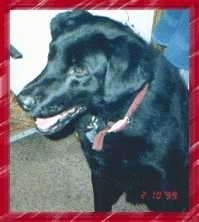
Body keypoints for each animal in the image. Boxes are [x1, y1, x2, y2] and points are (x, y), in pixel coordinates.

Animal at [17, 10, 188, 212]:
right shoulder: (100, 174)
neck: (118, 119)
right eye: (51, 55)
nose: (21, 101)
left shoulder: (166, 187)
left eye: (80, 69)